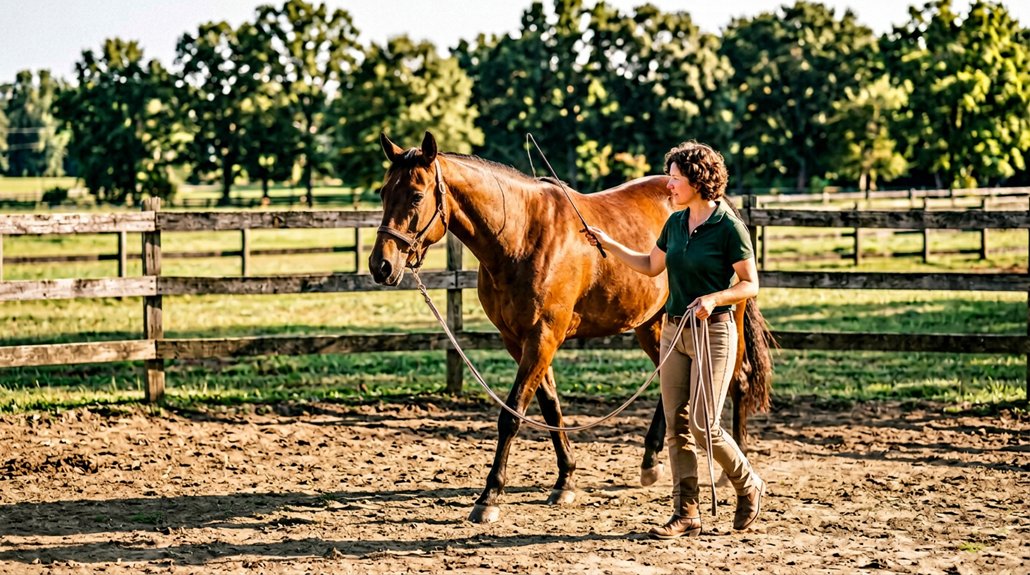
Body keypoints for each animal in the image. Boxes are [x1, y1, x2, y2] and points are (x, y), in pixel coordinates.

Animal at [370, 131, 773, 523]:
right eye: (384, 192)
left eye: (417, 195)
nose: (381, 265)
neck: (521, 235)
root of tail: (722, 204)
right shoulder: (519, 340)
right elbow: (550, 407)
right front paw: (565, 480)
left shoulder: (543, 337)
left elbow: (511, 414)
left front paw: (490, 497)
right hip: (654, 323)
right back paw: (650, 461)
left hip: (717, 319)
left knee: (736, 380)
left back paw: (730, 467)